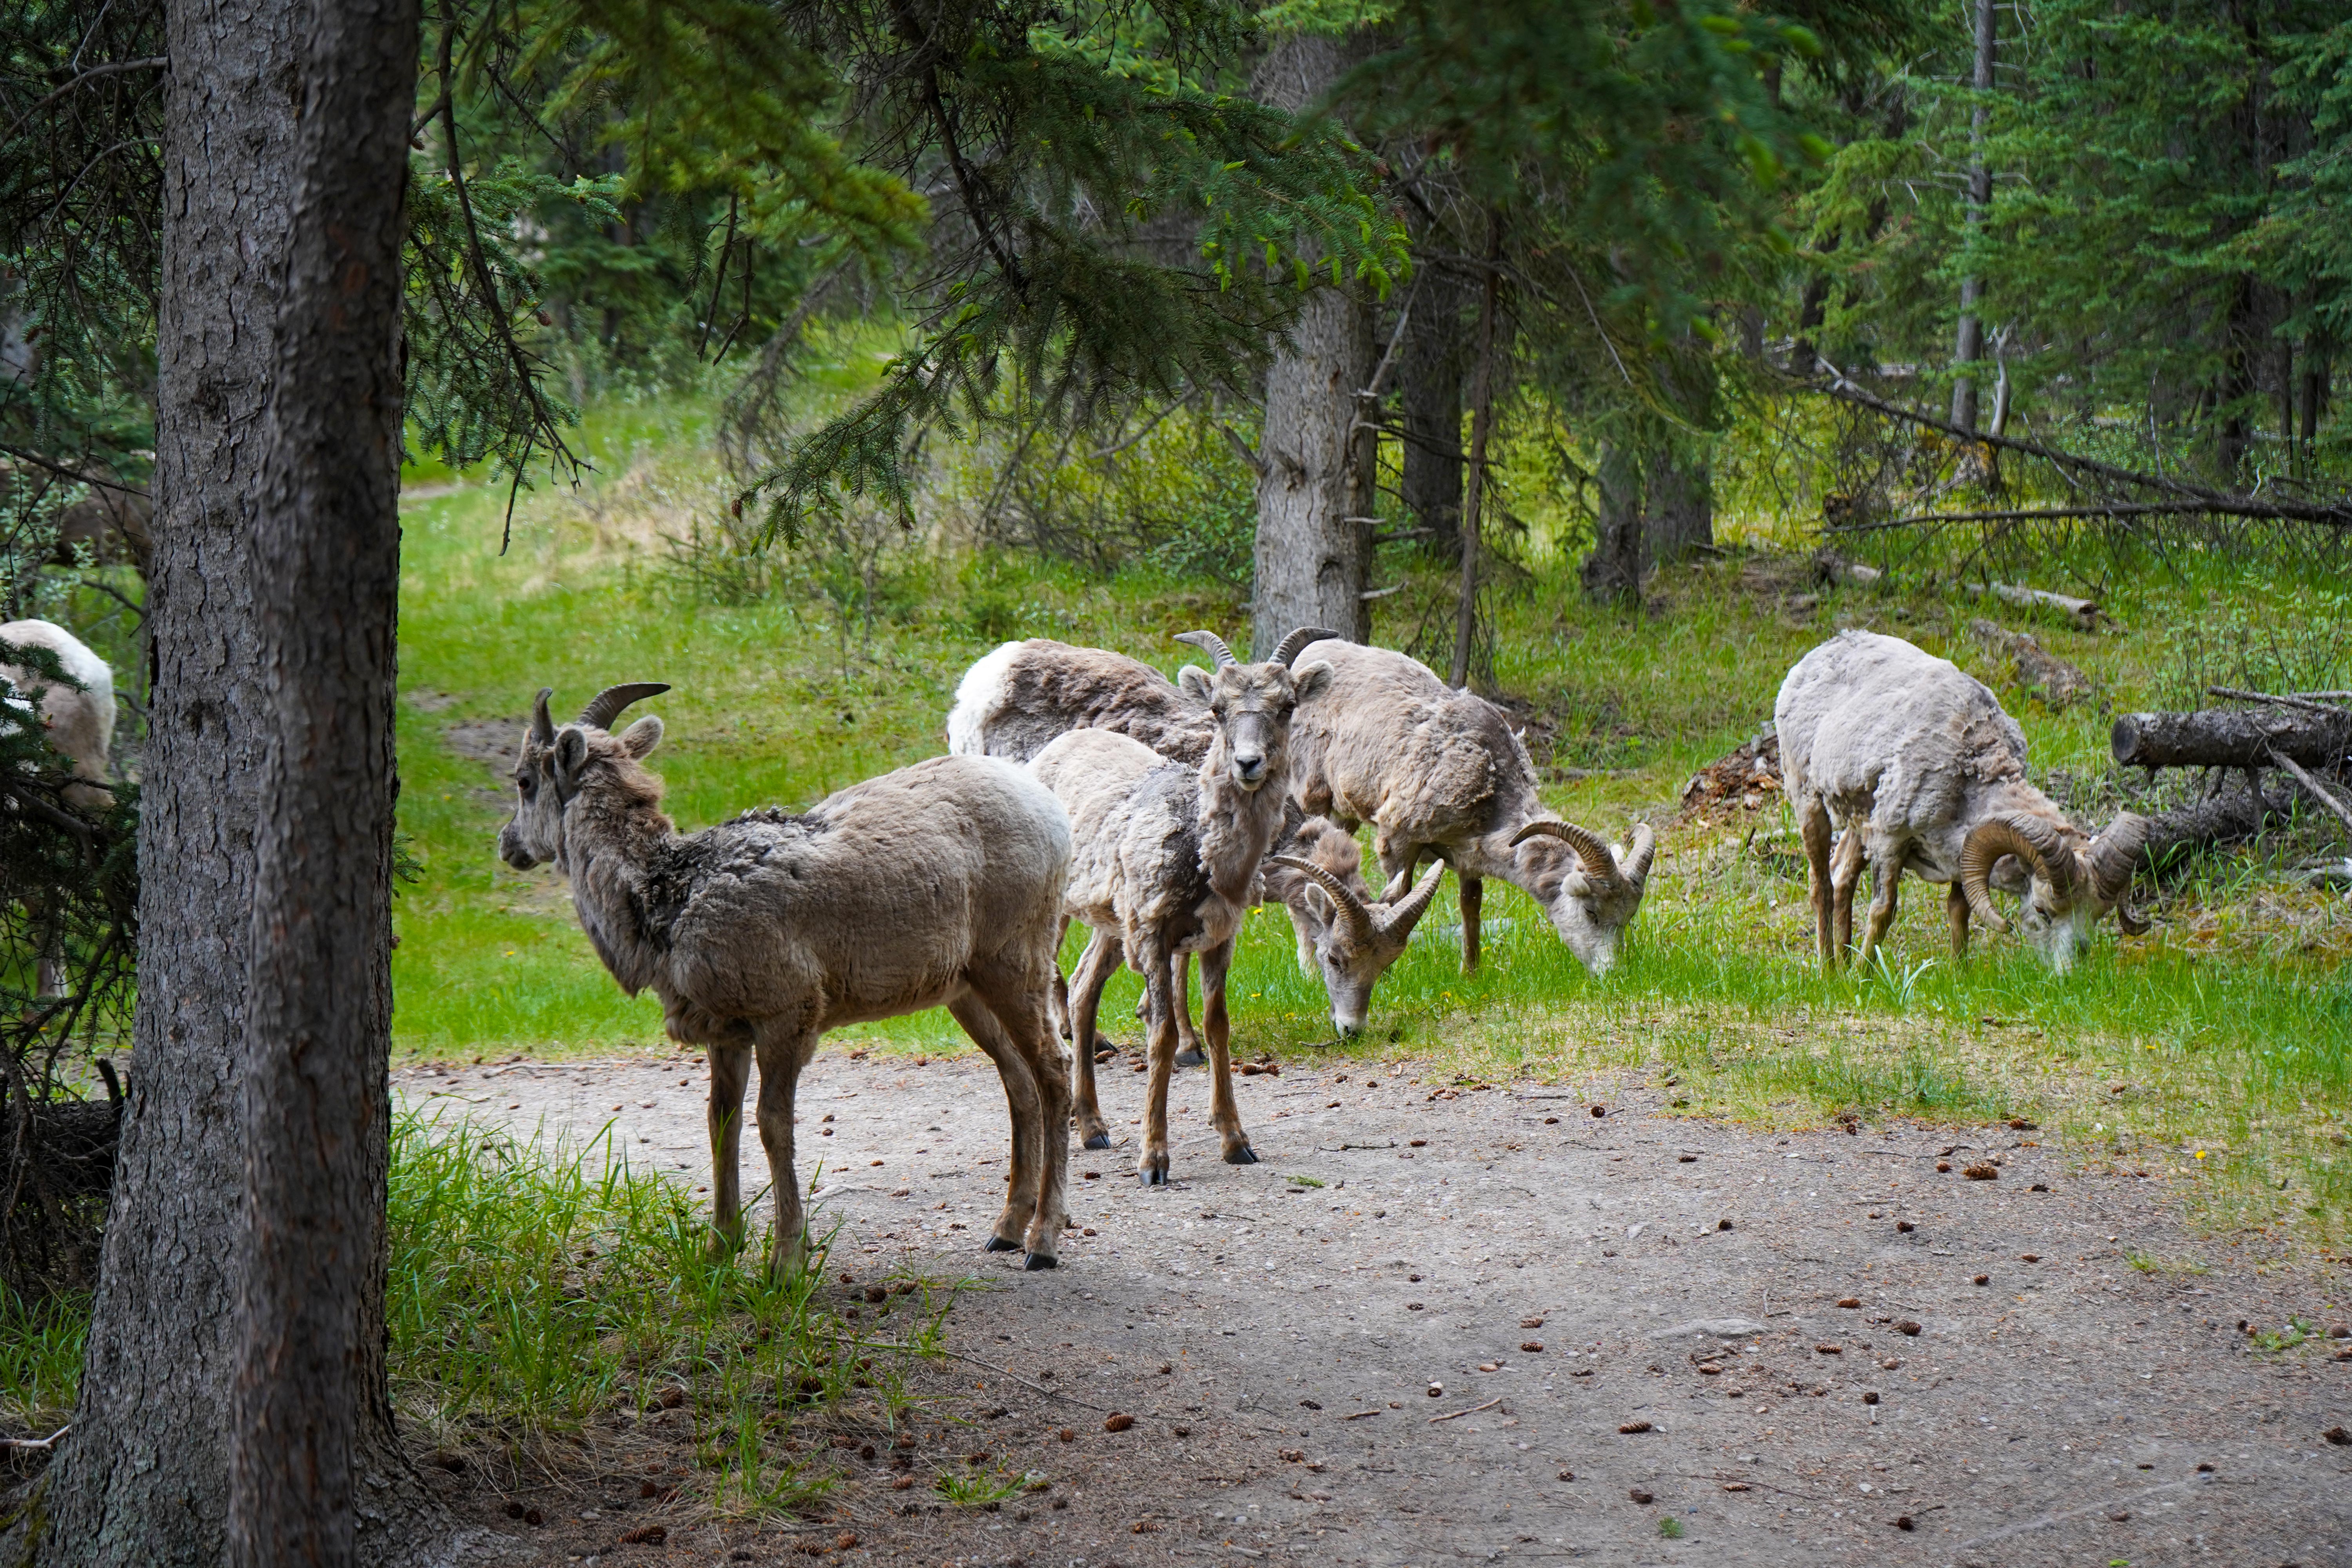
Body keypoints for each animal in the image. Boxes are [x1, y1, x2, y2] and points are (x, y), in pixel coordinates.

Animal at [506, 682, 1082, 1269]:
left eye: (524, 781)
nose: (510, 846)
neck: (670, 900)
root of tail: (1050, 808)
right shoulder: (726, 1032)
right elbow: (721, 1122)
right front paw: (720, 1247)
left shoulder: (785, 1017)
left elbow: (773, 1124)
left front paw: (785, 1261)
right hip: (967, 991)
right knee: (1019, 1082)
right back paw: (1004, 1230)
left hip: (1015, 966)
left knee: (1054, 1070)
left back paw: (1042, 1242)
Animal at [1025, 630, 1336, 1185]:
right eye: (1217, 709)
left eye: (1287, 707)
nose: (1248, 763)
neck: (1204, 855)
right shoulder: (1154, 935)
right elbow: (1163, 1035)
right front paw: (1154, 1161)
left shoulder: (1218, 936)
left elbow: (1218, 1026)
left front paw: (1236, 1142)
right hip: (1058, 912)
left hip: (1111, 924)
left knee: (1083, 990)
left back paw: (1093, 1128)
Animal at [1279, 635, 1665, 973]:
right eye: (1592, 913)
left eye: (1627, 918)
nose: (1612, 974)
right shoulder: (1398, 841)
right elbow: (1398, 898)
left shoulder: (1468, 858)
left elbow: (1471, 908)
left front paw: (1471, 972)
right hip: (1312, 798)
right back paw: (1308, 969)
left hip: (1345, 817)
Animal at [1778, 630, 2154, 973]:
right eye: (2043, 911)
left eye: (2097, 914)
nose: (2070, 974)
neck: (1970, 765)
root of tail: (1818, 656)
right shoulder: (1889, 842)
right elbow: (1883, 912)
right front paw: (1865, 976)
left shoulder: (1962, 855)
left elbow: (1960, 910)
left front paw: (1960, 971)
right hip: (1809, 803)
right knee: (1823, 887)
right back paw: (1829, 971)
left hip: (1859, 823)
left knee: (1843, 878)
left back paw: (1842, 965)